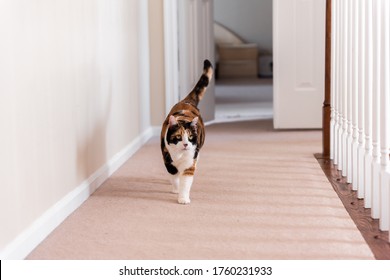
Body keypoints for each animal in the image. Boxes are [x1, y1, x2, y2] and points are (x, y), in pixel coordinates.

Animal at [160, 59, 213, 203]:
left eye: (190, 137)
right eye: (178, 137)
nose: (185, 144)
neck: (179, 155)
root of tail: (187, 101)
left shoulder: (190, 162)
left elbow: (186, 181)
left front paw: (183, 198)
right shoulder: (167, 158)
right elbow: (174, 174)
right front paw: (176, 189)